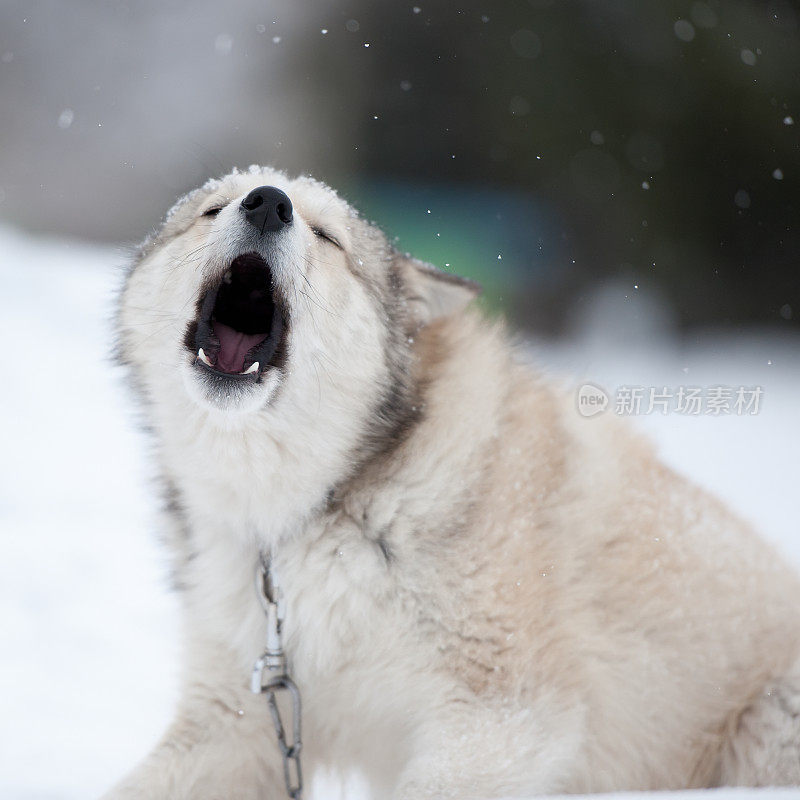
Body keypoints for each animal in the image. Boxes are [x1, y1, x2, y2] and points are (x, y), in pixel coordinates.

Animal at [104, 166, 800, 796]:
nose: (268, 202)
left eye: (326, 236)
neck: (319, 513)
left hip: (767, 725)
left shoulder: (502, 717)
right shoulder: (238, 723)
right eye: (212, 209)